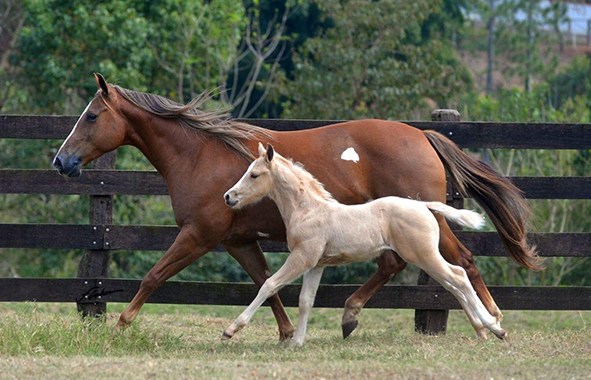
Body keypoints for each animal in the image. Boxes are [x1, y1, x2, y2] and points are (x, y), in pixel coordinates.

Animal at [224, 144, 506, 346]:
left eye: (254, 174)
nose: (228, 196)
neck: (308, 210)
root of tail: (424, 205)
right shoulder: (316, 264)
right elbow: (306, 300)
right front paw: (298, 342)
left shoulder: (301, 257)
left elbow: (269, 284)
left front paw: (231, 329)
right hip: (426, 257)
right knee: (454, 283)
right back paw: (486, 329)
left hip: (424, 255)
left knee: (458, 277)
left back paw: (494, 326)